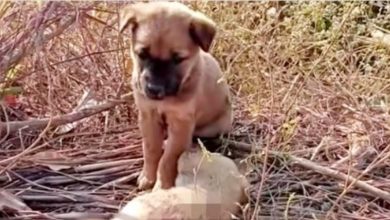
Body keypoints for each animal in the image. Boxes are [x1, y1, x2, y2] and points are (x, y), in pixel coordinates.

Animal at [119, 1, 233, 191]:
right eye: (142, 54)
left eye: (178, 58)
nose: (153, 89)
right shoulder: (148, 116)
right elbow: (150, 150)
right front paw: (148, 177)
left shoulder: (181, 124)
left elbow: (168, 159)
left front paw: (162, 185)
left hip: (214, 127)